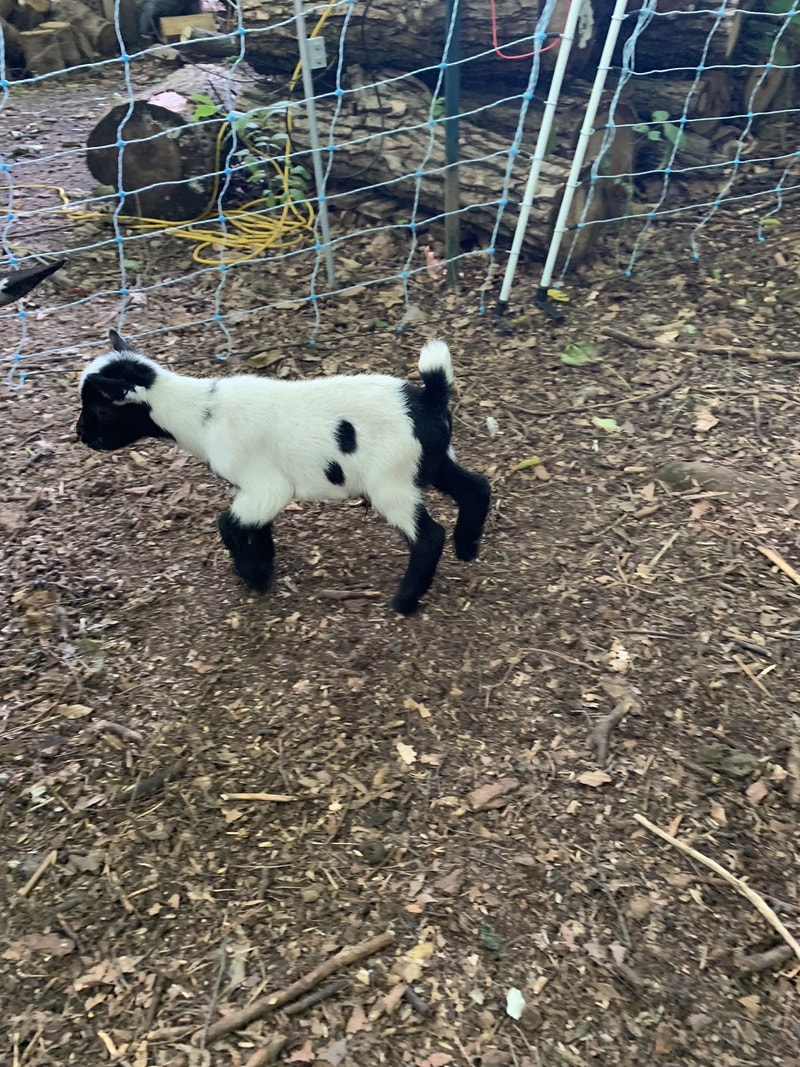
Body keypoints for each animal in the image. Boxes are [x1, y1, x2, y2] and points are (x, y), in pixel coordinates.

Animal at [76, 330, 491, 614]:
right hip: (431, 461)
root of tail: (429, 397)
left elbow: (228, 525)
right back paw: (467, 548)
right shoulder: (254, 490)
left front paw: (252, 576)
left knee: (428, 537)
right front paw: (264, 568)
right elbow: (257, 527)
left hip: (392, 481)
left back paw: (404, 601)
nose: (80, 435)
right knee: (476, 487)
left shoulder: (266, 487)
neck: (201, 415)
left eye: (99, 409)